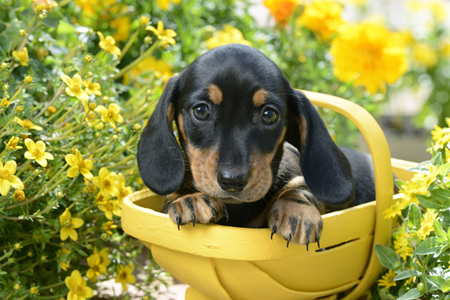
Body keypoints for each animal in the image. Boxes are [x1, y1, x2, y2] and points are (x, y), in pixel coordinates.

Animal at [137, 42, 376, 248]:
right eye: (201, 110)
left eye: (269, 115)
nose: (232, 181)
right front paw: (191, 199)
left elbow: (300, 185)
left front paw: (297, 211)